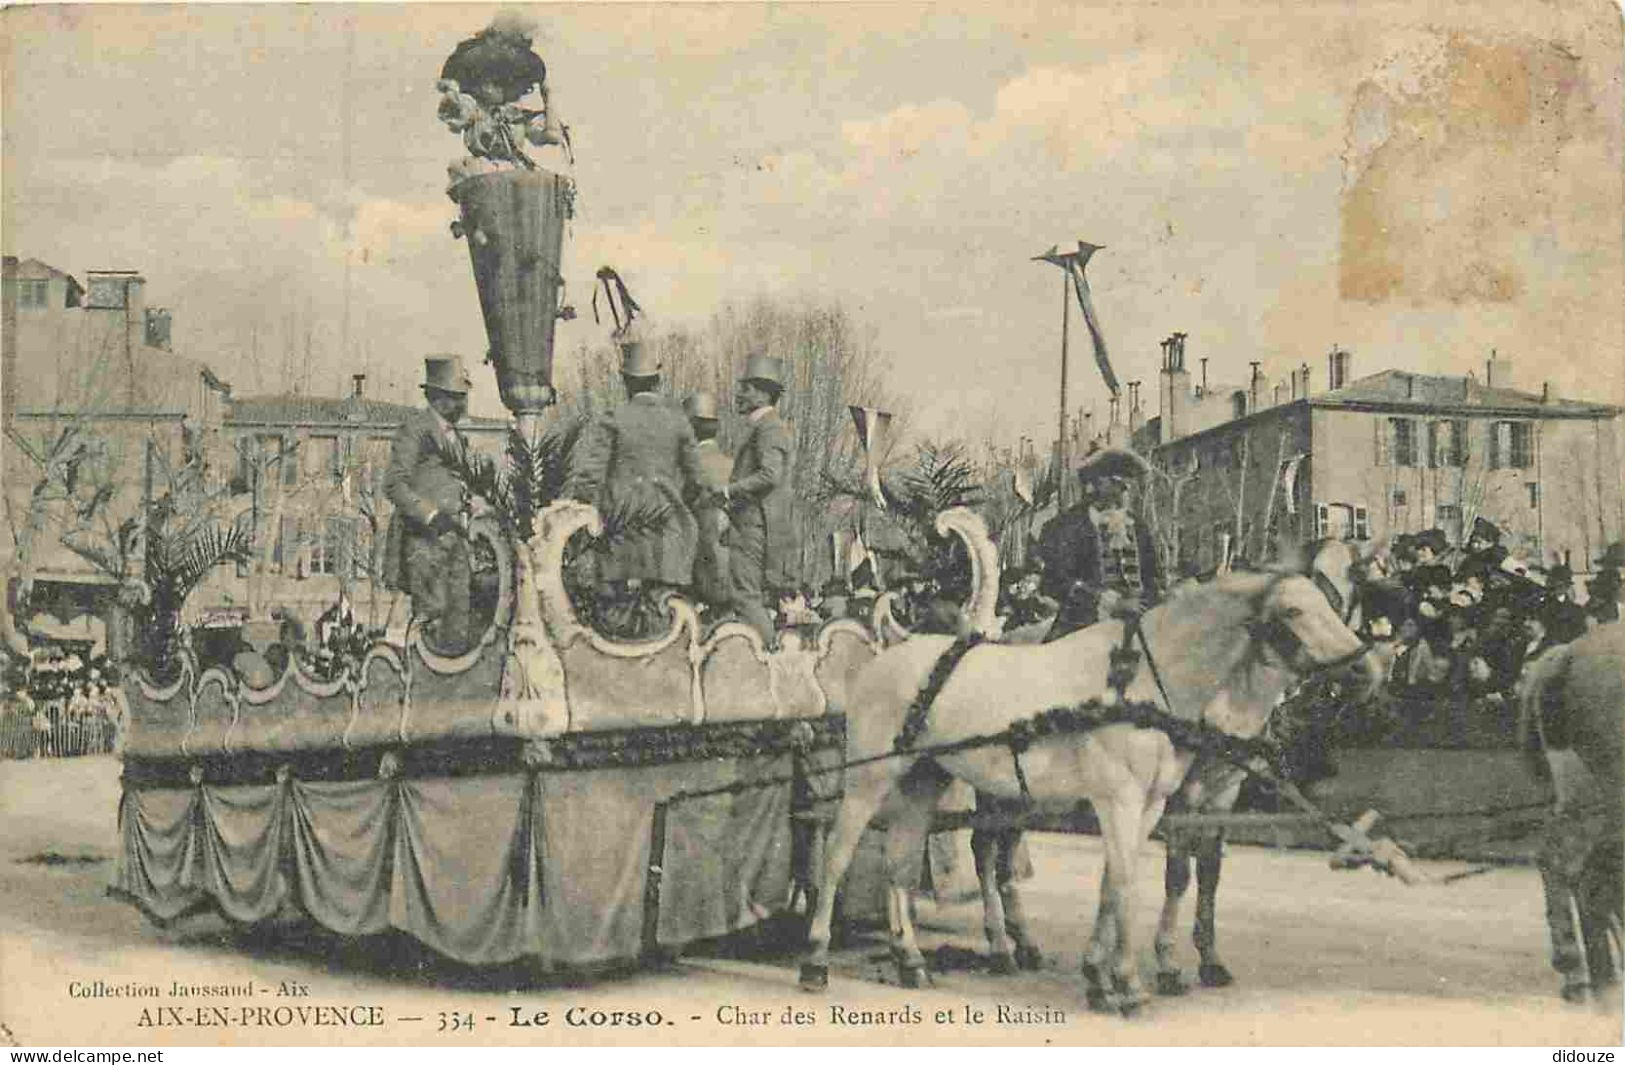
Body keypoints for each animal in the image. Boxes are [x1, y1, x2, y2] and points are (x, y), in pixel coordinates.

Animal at [796, 562, 1371, 1014]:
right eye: (1293, 612)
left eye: (1330, 600)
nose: (1364, 665)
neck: (1142, 682)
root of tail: (885, 658)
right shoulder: (1122, 798)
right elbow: (1130, 881)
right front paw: (1131, 982)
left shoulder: (1152, 803)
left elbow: (1120, 881)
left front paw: (1101, 975)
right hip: (869, 778)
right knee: (839, 856)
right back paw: (817, 960)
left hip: (924, 780)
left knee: (900, 862)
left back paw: (911, 960)